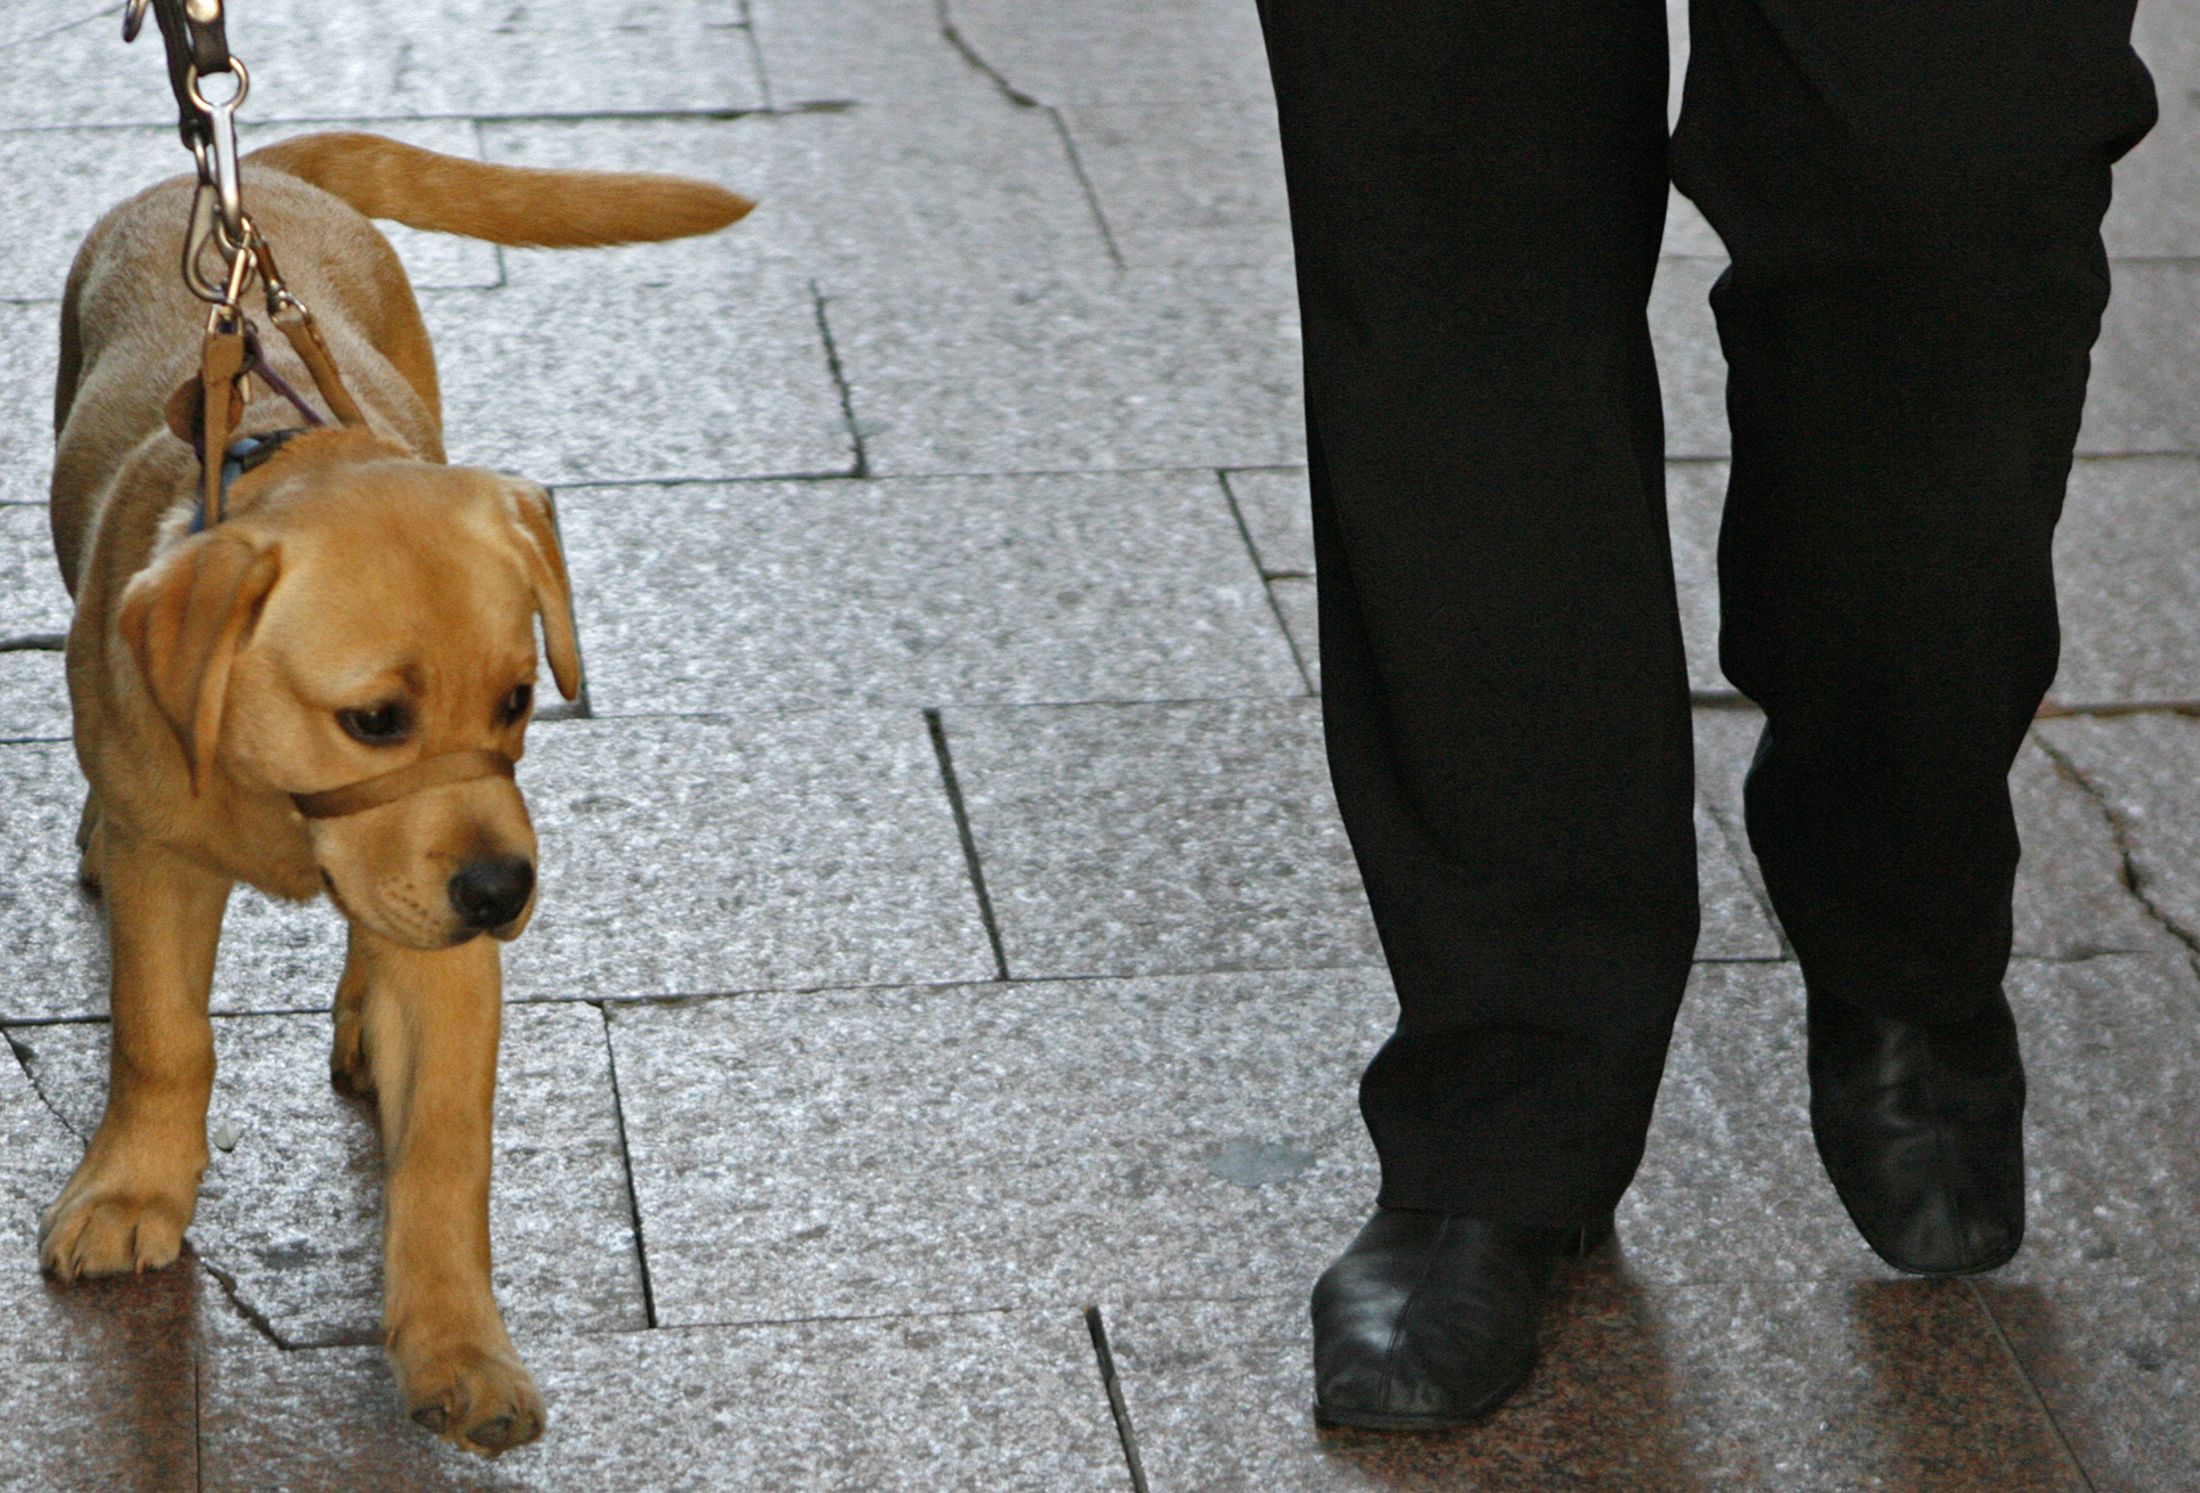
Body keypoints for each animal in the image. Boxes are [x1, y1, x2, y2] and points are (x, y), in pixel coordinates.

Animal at [42, 134, 743, 1451]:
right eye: (374, 719)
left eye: (517, 700)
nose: (506, 889)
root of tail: (257, 172)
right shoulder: (171, 865)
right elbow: (162, 1037)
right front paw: (133, 1184)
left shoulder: (452, 947)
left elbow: (446, 1152)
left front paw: (459, 1345)